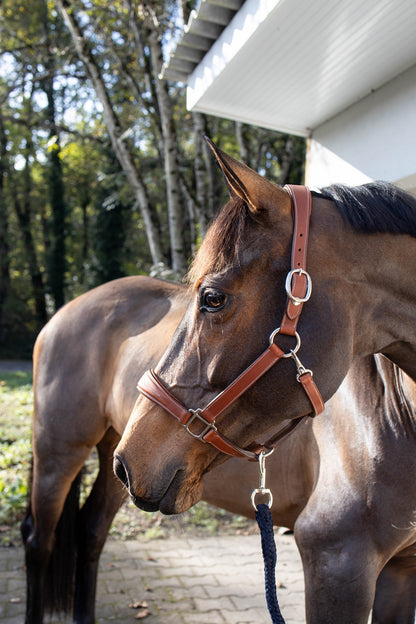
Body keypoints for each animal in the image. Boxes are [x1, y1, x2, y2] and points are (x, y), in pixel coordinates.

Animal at [23, 276, 416, 624]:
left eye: (213, 300)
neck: (392, 404)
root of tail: (63, 312)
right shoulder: (337, 560)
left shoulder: (401, 567)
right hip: (61, 452)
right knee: (38, 541)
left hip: (119, 461)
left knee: (90, 531)